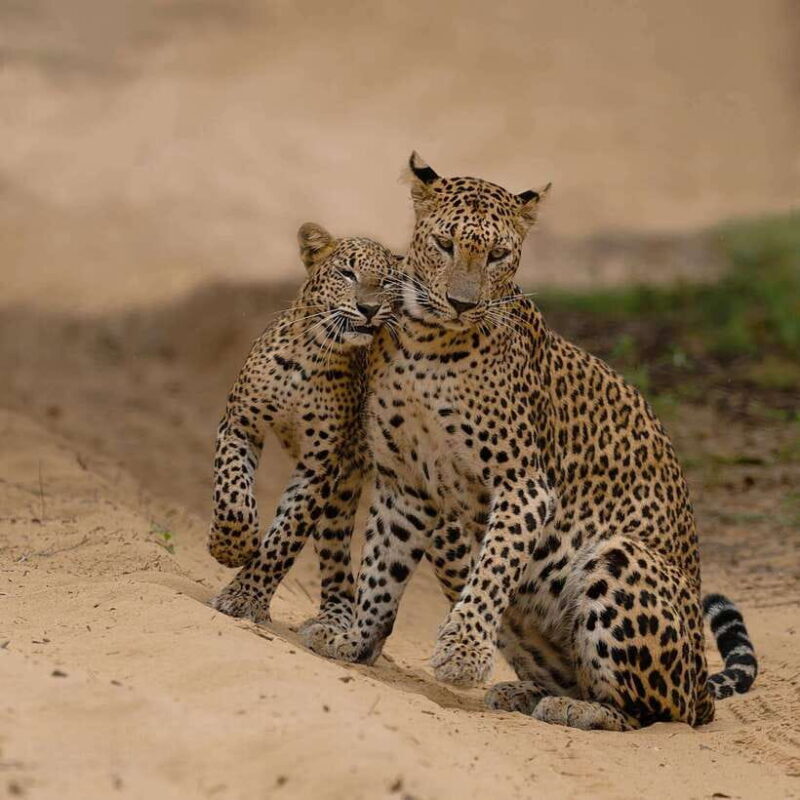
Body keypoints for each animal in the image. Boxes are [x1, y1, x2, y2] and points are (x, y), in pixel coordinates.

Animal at [208, 223, 397, 633]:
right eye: (347, 273)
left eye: (388, 281)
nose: (369, 308)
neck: (311, 356)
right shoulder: (239, 424)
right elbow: (232, 495)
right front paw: (231, 547)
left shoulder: (319, 465)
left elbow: (286, 536)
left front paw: (244, 598)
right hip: (341, 499)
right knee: (338, 562)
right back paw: (333, 623)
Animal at [303, 154, 758, 730]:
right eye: (446, 244)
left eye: (498, 255)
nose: (461, 303)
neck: (429, 342)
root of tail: (701, 681)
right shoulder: (406, 484)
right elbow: (382, 568)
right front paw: (354, 638)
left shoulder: (523, 485)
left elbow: (494, 567)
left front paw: (462, 653)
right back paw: (526, 692)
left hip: (620, 557)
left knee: (653, 712)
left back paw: (577, 709)